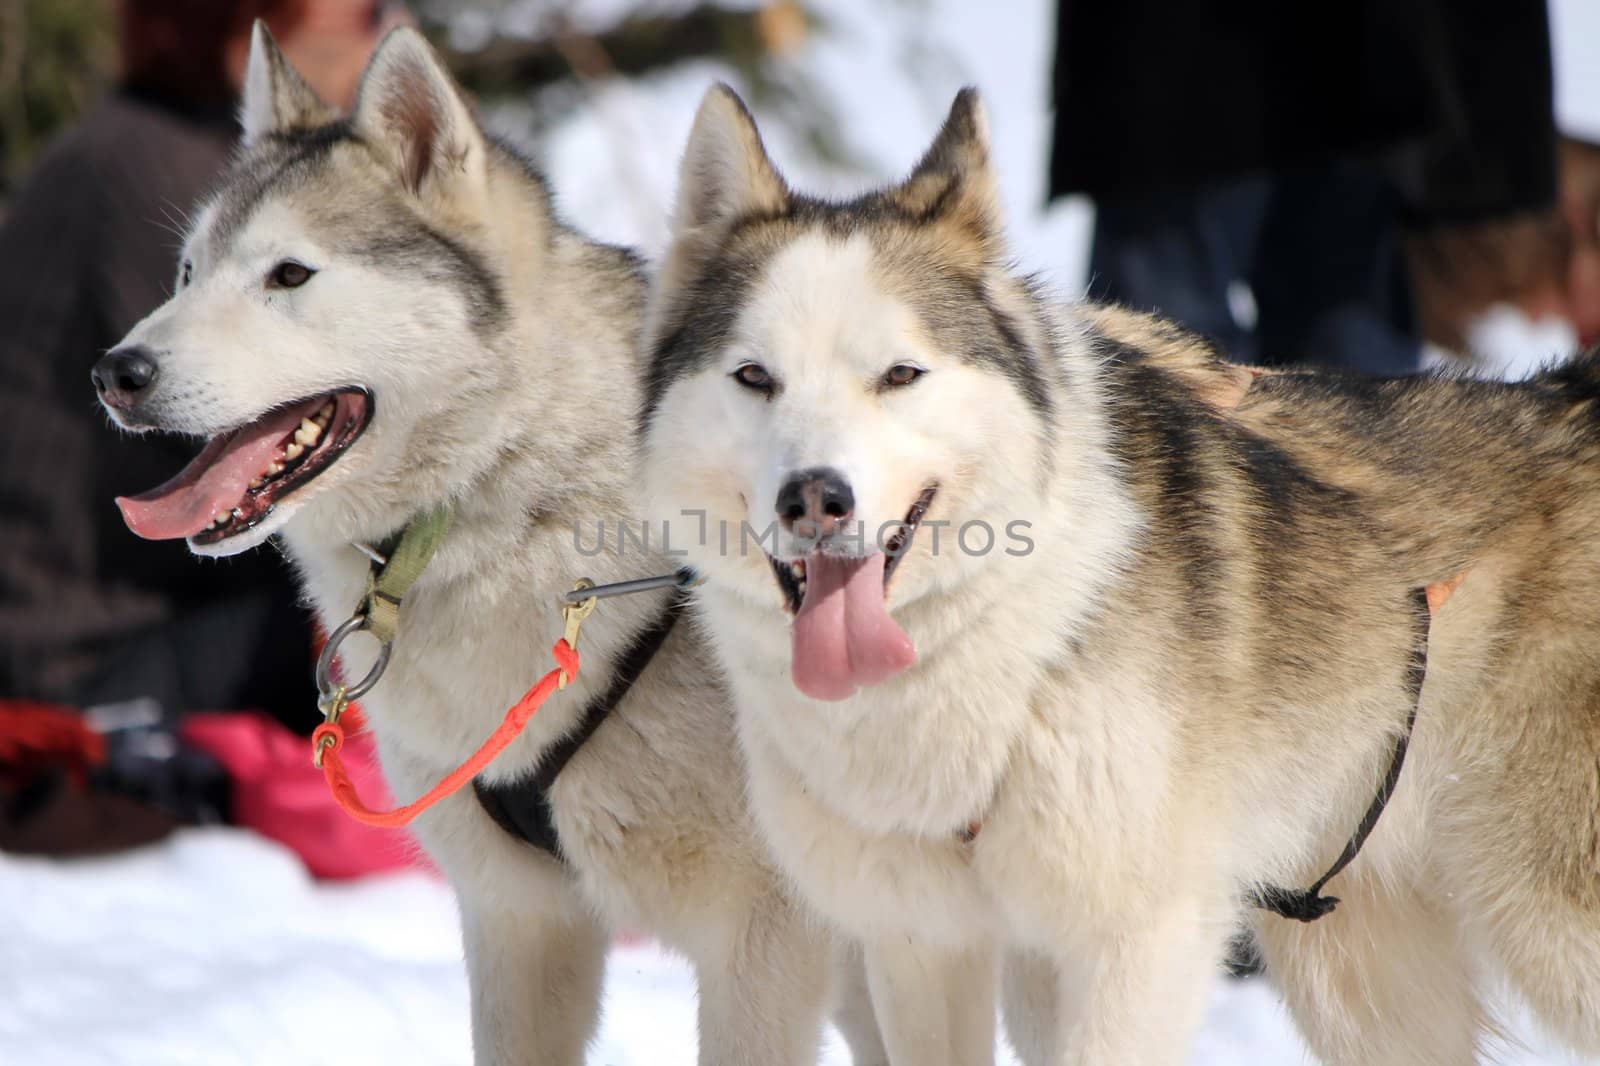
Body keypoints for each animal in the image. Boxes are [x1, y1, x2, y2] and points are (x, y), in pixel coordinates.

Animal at [636, 85, 1600, 1062]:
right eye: (754, 377)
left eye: (900, 374)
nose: (814, 498)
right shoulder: (922, 945)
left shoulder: (1139, 942)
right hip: (1361, 975)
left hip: (1543, 921)